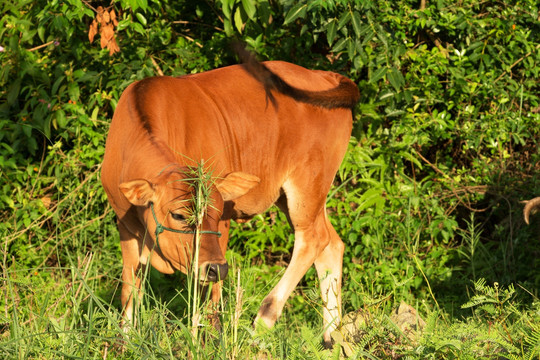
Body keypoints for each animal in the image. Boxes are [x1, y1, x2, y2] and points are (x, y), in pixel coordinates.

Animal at [100, 49, 358, 344]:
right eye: (178, 215)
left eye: (215, 211)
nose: (215, 268)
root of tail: (323, 75)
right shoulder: (125, 225)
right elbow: (130, 287)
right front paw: (126, 338)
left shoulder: (222, 226)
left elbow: (209, 294)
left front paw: (208, 337)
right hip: (307, 194)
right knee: (332, 244)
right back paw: (331, 338)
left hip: (307, 183)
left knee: (313, 239)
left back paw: (264, 319)